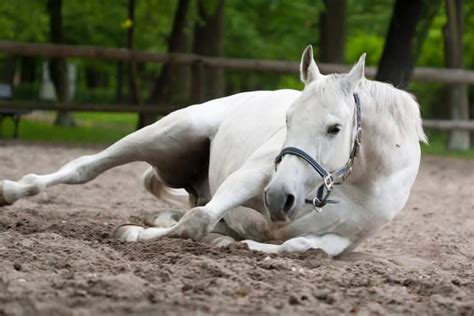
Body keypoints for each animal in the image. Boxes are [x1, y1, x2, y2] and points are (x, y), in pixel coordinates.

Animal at [0, 46, 428, 256]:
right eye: (288, 119)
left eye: (334, 128)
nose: (280, 198)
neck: (358, 182)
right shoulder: (254, 177)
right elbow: (198, 221)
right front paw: (134, 235)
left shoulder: (346, 239)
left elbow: (302, 246)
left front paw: (247, 245)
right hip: (163, 134)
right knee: (84, 167)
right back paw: (11, 191)